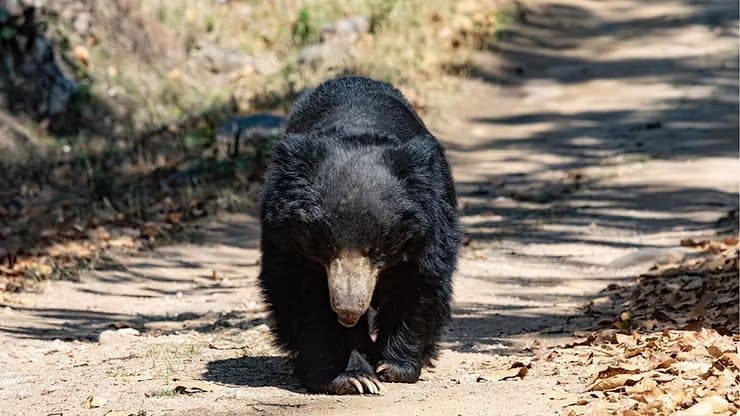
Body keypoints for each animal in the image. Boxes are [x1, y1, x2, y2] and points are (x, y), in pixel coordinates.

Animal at [258, 76, 461, 395]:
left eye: (378, 247)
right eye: (325, 245)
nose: (348, 311)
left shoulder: (430, 224)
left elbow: (419, 284)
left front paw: (392, 367)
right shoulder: (285, 237)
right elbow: (303, 296)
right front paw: (351, 377)